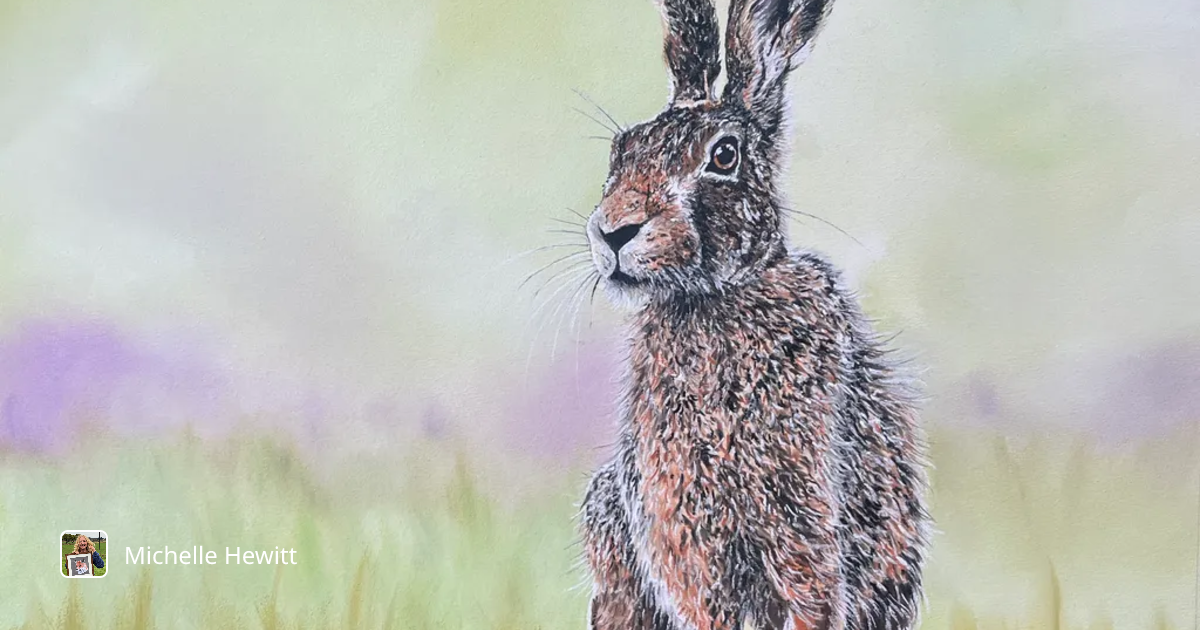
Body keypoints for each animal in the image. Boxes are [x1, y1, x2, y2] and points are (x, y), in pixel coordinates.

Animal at [577, 1, 931, 629]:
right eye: (621, 150)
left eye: (724, 156)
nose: (614, 230)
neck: (715, 294)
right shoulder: (686, 537)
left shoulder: (804, 519)